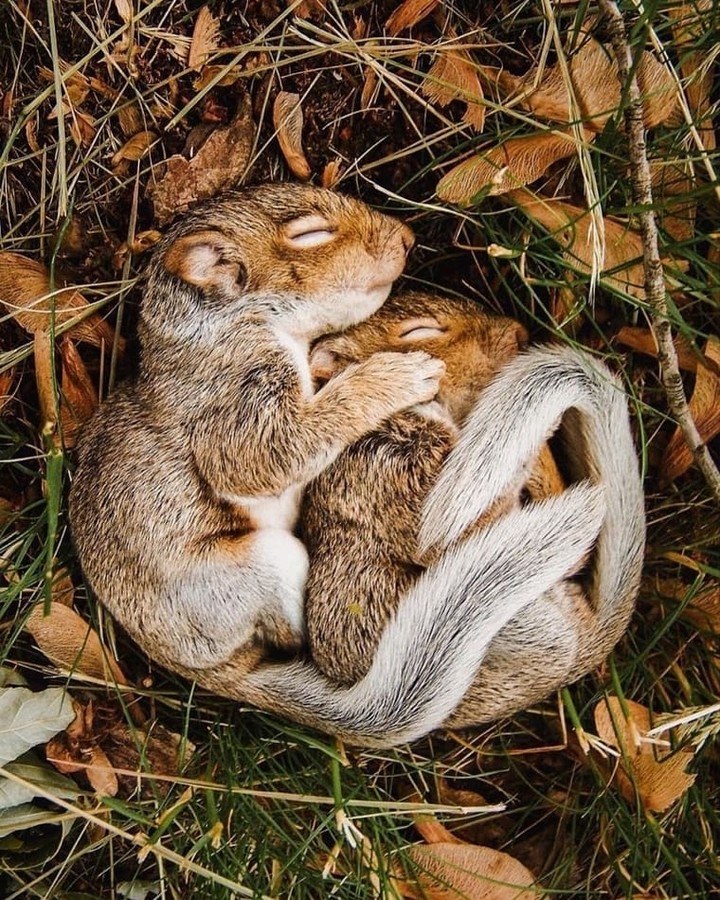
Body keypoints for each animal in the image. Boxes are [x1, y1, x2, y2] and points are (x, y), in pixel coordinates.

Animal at [69, 183, 605, 748]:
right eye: (311, 234)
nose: (407, 237)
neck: (221, 330)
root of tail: (202, 668)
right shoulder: (227, 401)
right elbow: (265, 453)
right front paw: (393, 376)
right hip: (255, 572)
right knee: (290, 632)